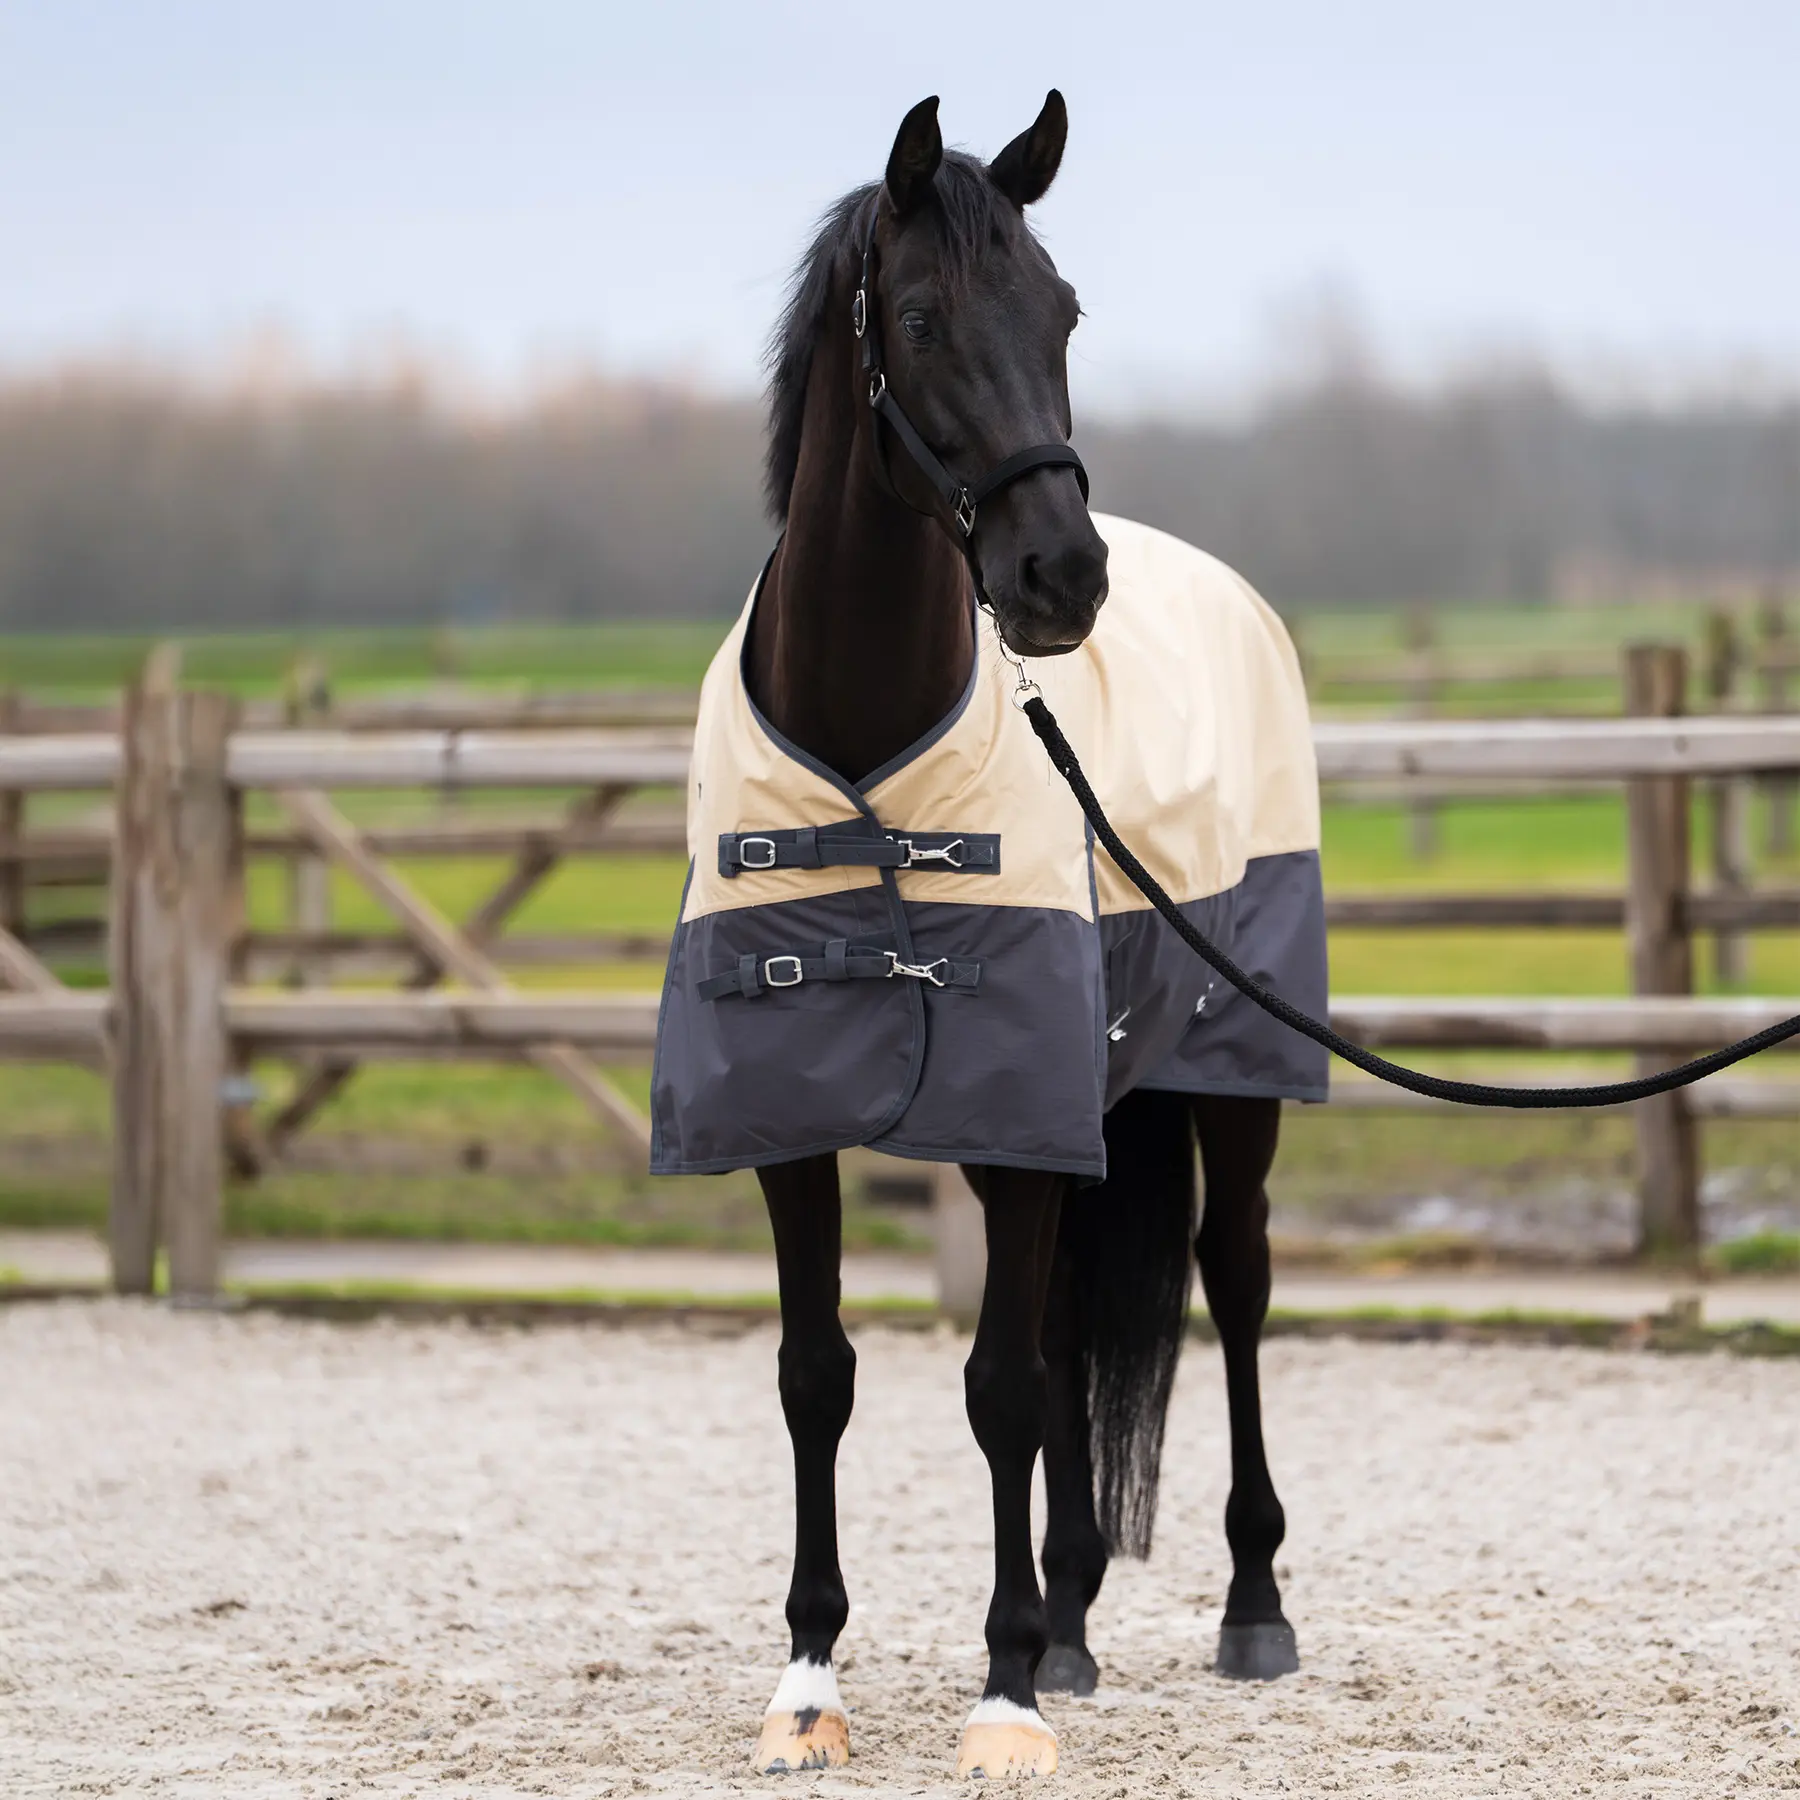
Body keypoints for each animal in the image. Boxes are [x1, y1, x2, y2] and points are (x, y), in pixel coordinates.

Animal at [649, 91, 1327, 1778]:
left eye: (1065, 312)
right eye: (924, 320)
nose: (1062, 578)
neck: (862, 743)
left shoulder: (1021, 1123)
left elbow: (1006, 1389)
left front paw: (1005, 1693)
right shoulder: (803, 1121)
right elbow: (818, 1378)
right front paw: (811, 1684)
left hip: (1230, 1081)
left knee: (1233, 1284)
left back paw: (1247, 1607)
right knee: (1086, 1312)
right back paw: (1078, 1619)